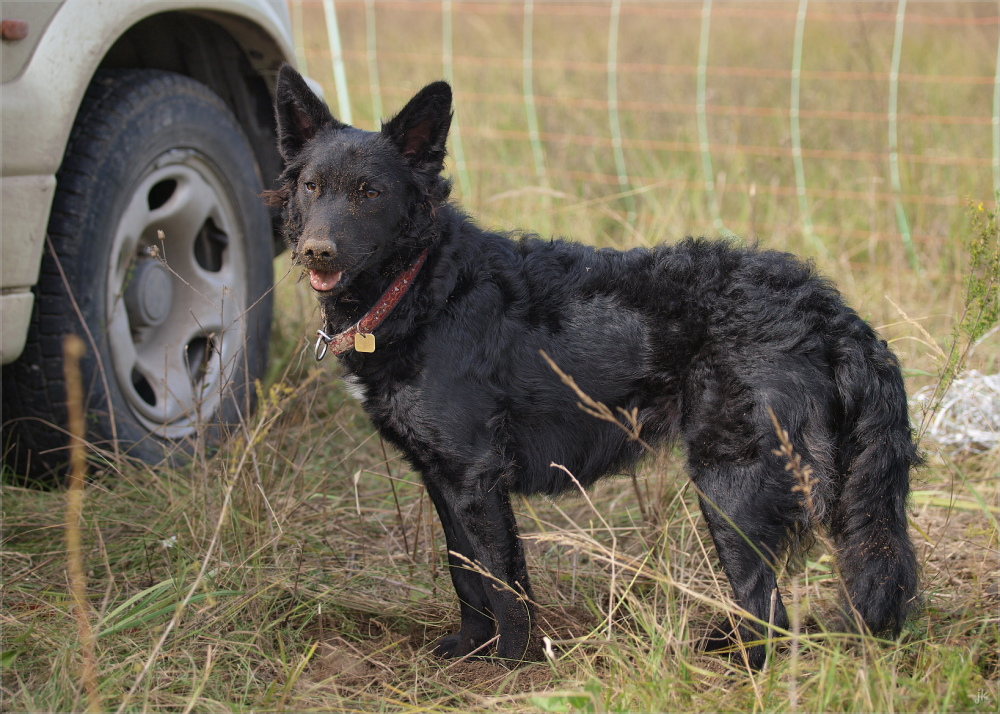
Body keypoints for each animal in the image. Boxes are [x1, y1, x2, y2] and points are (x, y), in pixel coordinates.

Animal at [270, 65, 916, 668]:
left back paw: (736, 669)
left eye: (370, 193)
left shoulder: (475, 476)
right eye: (312, 186)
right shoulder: (441, 478)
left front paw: (508, 667)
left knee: (768, 613)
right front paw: (468, 649)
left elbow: (504, 587)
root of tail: (831, 311)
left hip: (732, 489)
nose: (316, 251)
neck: (426, 285)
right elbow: (466, 577)